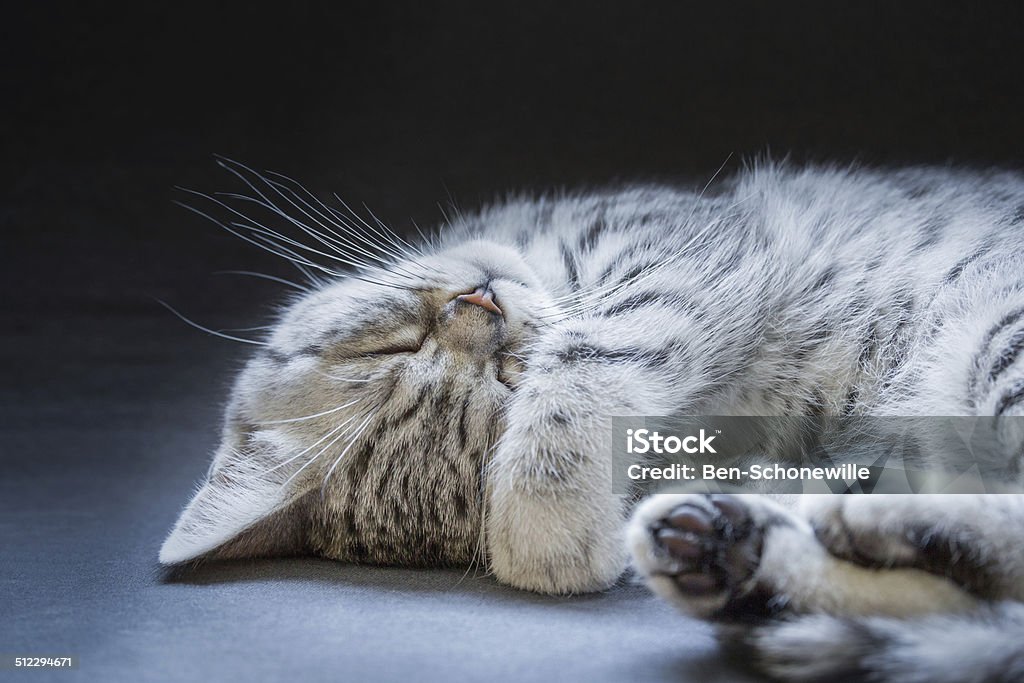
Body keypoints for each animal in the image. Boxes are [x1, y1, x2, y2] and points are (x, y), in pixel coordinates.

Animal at [159, 158, 1024, 679]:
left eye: (509, 373)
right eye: (400, 344)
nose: (482, 306)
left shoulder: (670, 249)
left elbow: (587, 348)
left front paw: (546, 518)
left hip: (995, 333)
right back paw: (734, 549)